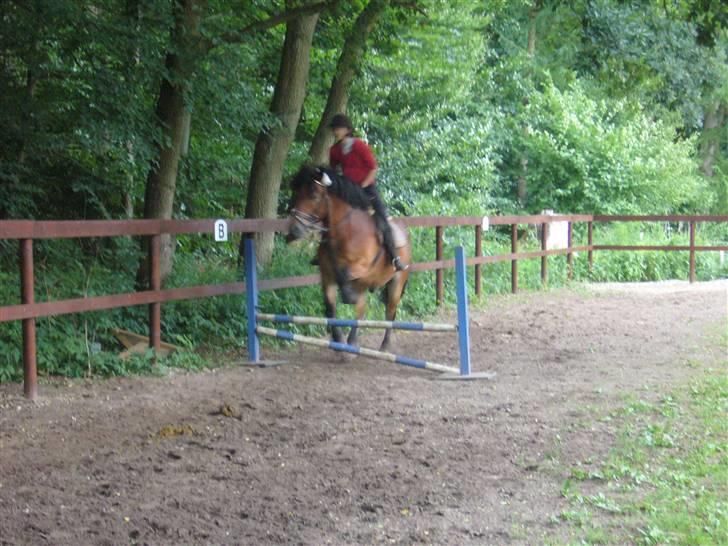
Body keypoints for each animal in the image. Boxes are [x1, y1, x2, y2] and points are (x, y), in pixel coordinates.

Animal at [288, 164, 412, 348]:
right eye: (297, 193)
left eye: (313, 195)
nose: (294, 230)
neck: (343, 231)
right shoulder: (327, 276)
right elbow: (330, 307)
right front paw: (337, 338)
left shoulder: (360, 267)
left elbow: (345, 275)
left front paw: (347, 295)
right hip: (367, 283)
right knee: (361, 309)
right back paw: (352, 339)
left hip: (396, 282)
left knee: (390, 311)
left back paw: (384, 345)